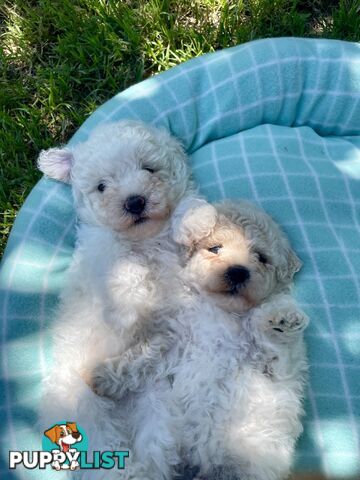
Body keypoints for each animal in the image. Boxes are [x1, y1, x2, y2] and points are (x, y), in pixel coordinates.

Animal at [93, 199, 310, 480]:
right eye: (215, 248)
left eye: (262, 258)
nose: (238, 272)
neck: (222, 314)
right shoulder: (176, 336)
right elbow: (144, 355)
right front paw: (104, 378)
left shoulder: (276, 371)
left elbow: (280, 351)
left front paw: (281, 321)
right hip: (161, 433)